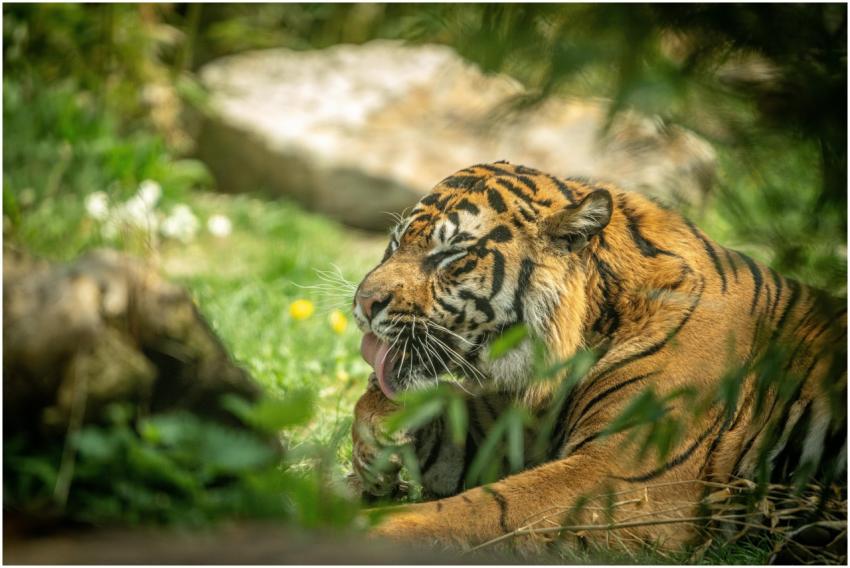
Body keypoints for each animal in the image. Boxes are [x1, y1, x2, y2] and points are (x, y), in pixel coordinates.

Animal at [349, 161, 847, 551]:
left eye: (451, 254)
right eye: (394, 244)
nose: (364, 302)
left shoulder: (623, 477)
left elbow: (484, 509)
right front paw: (378, 443)